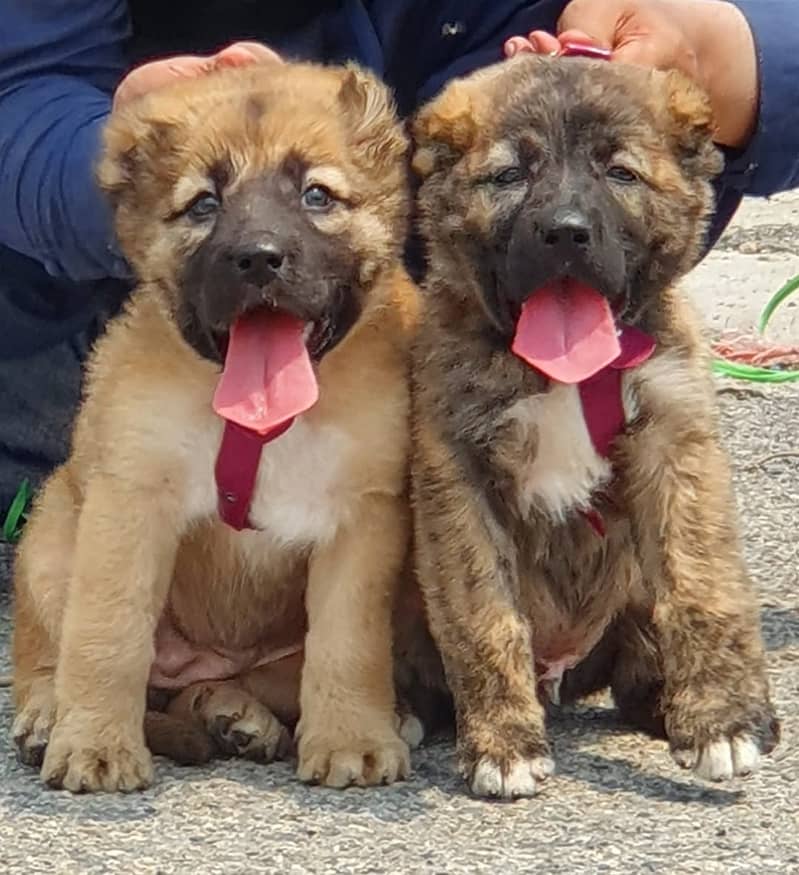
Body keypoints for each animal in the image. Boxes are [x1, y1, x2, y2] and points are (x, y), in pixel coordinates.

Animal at [10, 63, 418, 792]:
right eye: (203, 204)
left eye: (316, 195)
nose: (258, 258)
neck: (261, 426)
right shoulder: (130, 501)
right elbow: (106, 635)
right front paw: (94, 744)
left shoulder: (362, 519)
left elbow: (348, 642)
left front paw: (352, 738)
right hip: (51, 534)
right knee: (46, 651)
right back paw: (46, 716)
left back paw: (239, 712)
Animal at [410, 58, 780, 800]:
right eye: (509, 175)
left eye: (620, 173)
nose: (565, 231)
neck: (559, 373)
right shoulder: (455, 472)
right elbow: (483, 615)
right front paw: (503, 743)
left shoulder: (675, 438)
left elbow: (702, 586)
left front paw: (722, 722)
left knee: (639, 672)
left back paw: (678, 706)